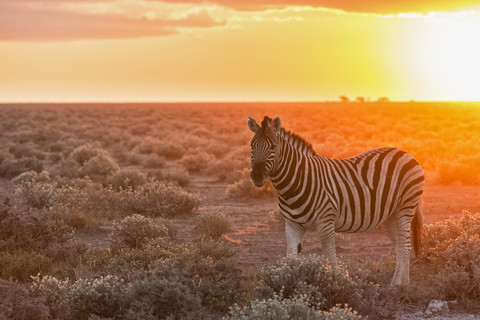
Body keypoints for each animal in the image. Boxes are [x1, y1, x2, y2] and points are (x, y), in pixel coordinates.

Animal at [248, 115, 424, 284]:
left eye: (273, 147)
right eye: (251, 146)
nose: (257, 176)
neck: (296, 182)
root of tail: (404, 152)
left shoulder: (326, 222)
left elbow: (330, 258)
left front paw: (336, 285)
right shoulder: (292, 225)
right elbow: (291, 259)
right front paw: (289, 287)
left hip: (405, 207)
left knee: (405, 244)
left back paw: (400, 285)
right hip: (389, 215)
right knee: (401, 245)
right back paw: (399, 283)